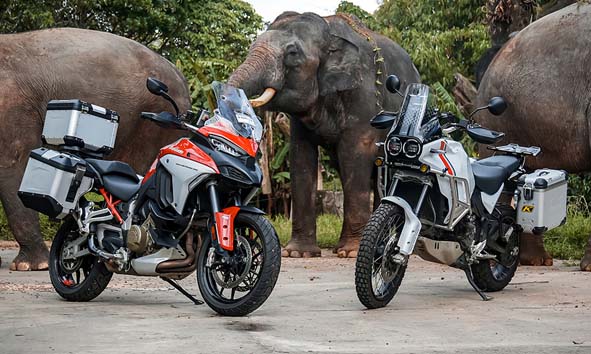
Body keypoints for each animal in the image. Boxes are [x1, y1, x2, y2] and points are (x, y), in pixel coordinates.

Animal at [228, 13, 420, 258]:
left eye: (292, 53)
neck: (329, 31)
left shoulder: (362, 95)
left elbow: (355, 154)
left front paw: (350, 253)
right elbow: (301, 157)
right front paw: (297, 254)